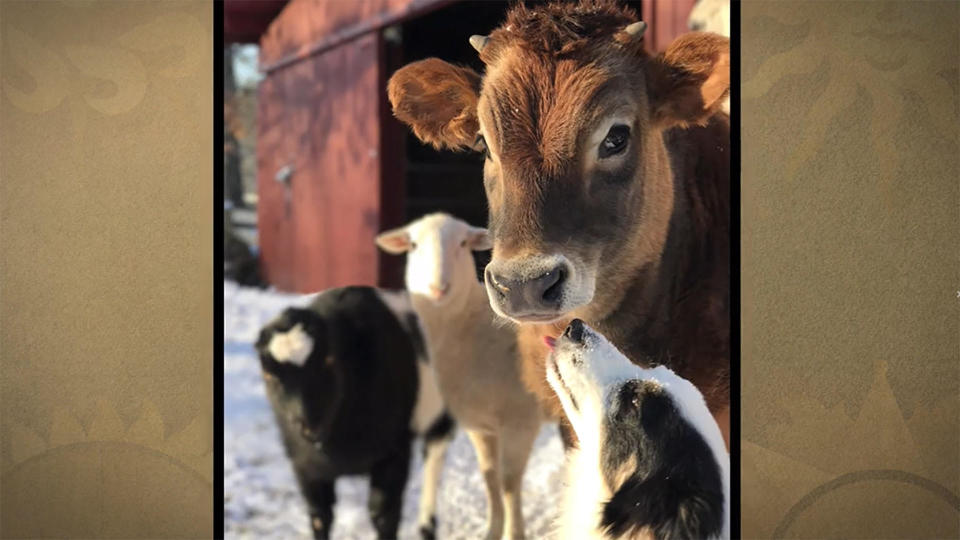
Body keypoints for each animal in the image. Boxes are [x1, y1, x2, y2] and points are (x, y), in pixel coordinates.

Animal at [253, 288, 452, 536]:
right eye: (268, 374)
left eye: (328, 361)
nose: (307, 422)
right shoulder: (305, 467)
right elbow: (320, 517)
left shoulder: (395, 451)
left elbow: (383, 515)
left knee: (434, 457)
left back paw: (427, 527)